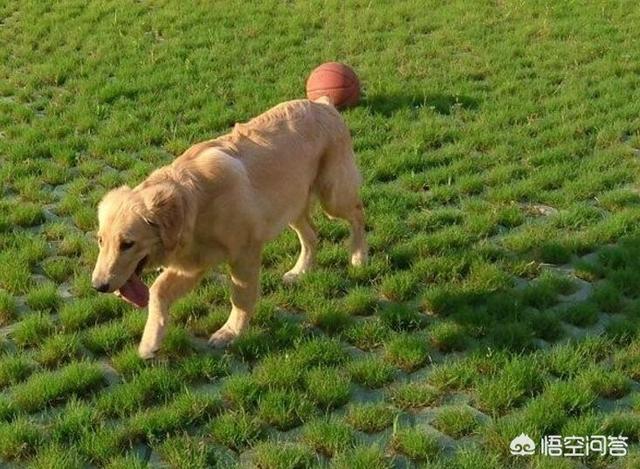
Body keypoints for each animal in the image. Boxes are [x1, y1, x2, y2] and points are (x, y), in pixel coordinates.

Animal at [92, 97, 368, 356]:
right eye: (100, 241)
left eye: (128, 244)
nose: (98, 286)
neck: (195, 203)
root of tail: (322, 103)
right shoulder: (192, 264)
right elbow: (158, 291)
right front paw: (150, 343)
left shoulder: (244, 254)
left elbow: (241, 298)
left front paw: (230, 333)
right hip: (291, 206)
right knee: (312, 235)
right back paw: (301, 271)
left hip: (333, 196)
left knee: (357, 213)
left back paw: (358, 257)